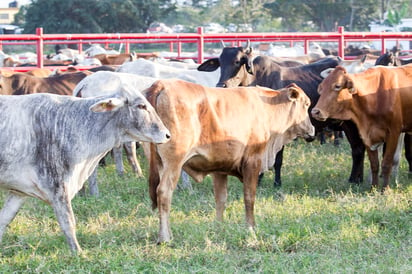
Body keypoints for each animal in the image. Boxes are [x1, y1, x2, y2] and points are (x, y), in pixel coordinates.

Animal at [0, 89, 171, 253]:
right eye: (141, 106)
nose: (167, 135)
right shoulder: (58, 187)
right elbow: (68, 223)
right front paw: (78, 253)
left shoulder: (19, 192)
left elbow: (4, 221)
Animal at [143, 78, 314, 243]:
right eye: (306, 104)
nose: (312, 130)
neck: (267, 109)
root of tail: (161, 84)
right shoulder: (252, 162)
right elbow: (249, 197)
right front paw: (251, 228)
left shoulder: (219, 169)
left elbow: (221, 199)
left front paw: (219, 227)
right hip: (174, 162)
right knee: (164, 192)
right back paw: (164, 237)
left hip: (158, 163)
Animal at [198, 48, 366, 188]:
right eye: (220, 63)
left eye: (238, 61)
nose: (221, 85)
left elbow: (277, 160)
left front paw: (277, 183)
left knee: (358, 149)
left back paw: (354, 180)